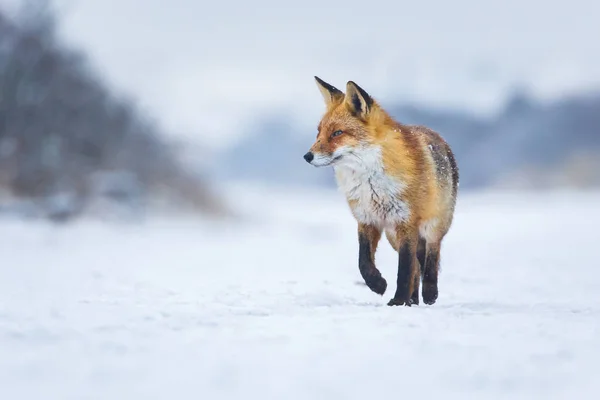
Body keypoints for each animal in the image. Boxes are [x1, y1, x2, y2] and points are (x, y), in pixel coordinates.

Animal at [302, 76, 462, 304]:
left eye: (337, 133)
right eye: (319, 132)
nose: (307, 156)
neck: (372, 184)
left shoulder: (406, 222)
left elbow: (404, 268)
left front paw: (397, 301)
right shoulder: (367, 219)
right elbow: (364, 262)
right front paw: (378, 285)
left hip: (433, 225)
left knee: (432, 255)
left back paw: (429, 293)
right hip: (392, 236)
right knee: (417, 267)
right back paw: (413, 300)